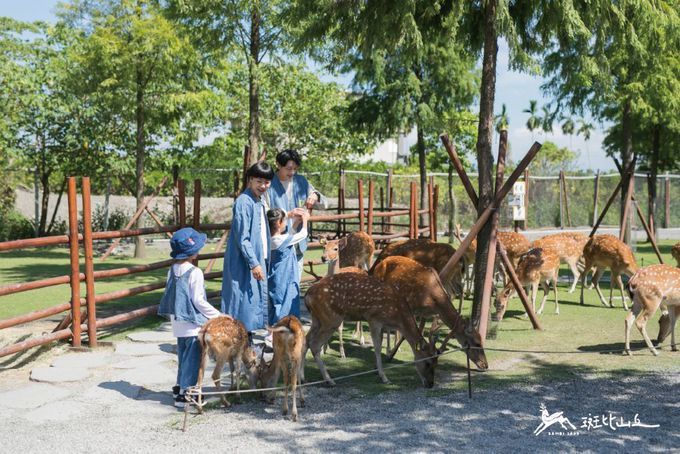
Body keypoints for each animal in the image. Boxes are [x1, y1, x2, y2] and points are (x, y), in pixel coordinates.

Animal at [304, 272, 438, 387]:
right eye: (427, 362)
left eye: (436, 362)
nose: (430, 384)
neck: (396, 315)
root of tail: (307, 295)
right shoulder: (374, 318)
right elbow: (377, 348)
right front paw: (384, 377)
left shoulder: (383, 325)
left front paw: (376, 371)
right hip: (331, 319)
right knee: (315, 344)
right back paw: (329, 380)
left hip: (317, 319)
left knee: (307, 339)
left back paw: (303, 378)